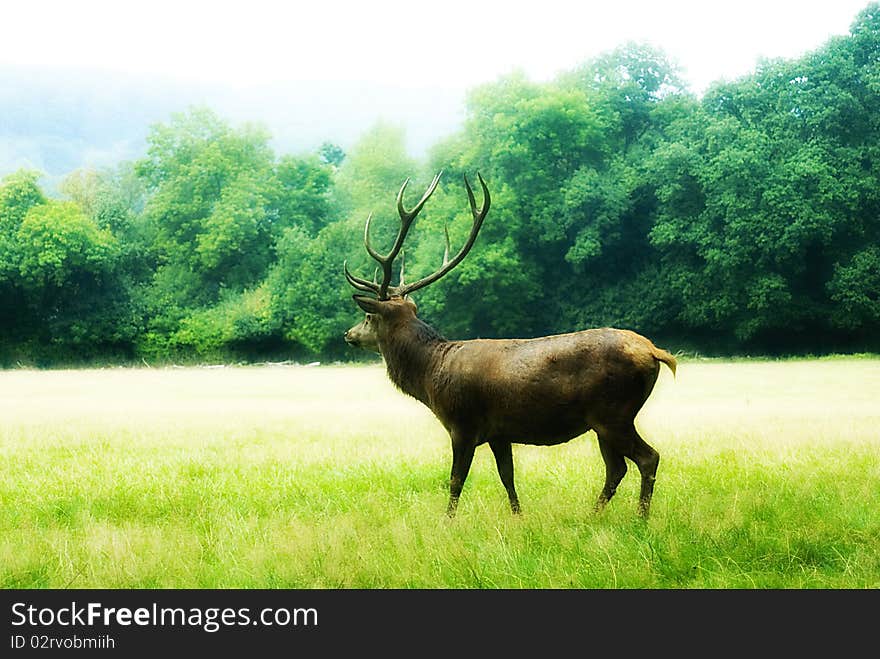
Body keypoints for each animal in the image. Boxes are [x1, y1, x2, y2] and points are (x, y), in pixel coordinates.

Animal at [342, 173, 672, 520]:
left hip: (614, 412)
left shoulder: (462, 424)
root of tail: (654, 352)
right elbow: (507, 476)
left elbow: (456, 480)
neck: (430, 375)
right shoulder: (499, 433)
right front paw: (518, 515)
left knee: (647, 458)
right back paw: (592, 516)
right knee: (616, 468)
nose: (348, 334)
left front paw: (447, 521)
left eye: (368, 316)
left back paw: (640, 518)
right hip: (605, 421)